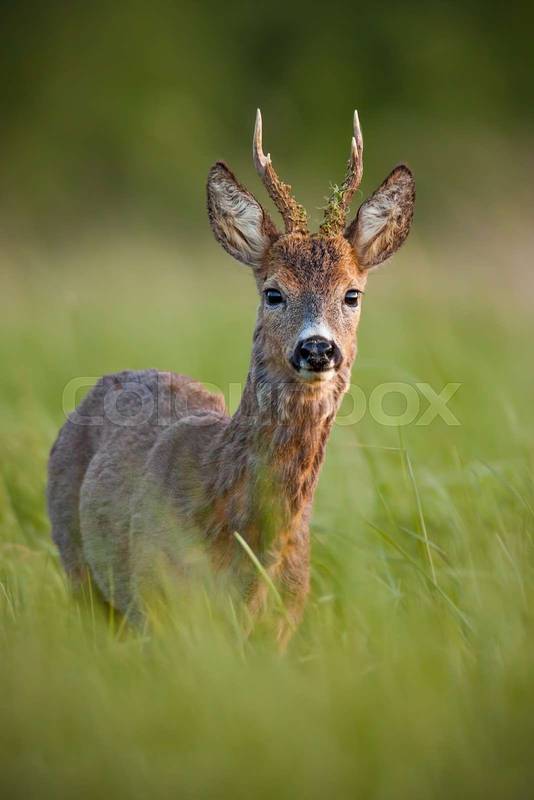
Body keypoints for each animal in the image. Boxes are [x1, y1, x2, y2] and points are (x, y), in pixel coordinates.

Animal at [47, 110, 415, 646]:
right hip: (75, 560)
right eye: (273, 293)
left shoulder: (284, 620)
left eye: (352, 294)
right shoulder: (158, 603)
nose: (317, 348)